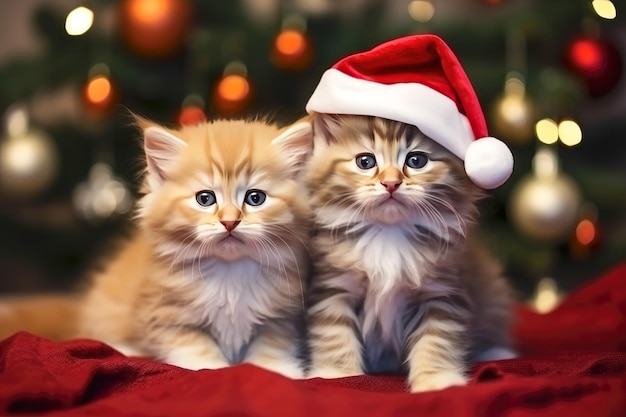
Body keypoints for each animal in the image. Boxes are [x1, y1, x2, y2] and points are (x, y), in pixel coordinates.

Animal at [70, 117, 312, 376]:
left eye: (255, 198)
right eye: (205, 199)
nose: (230, 222)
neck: (230, 274)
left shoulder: (284, 317)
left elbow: (272, 346)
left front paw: (277, 369)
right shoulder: (164, 315)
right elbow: (196, 348)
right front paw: (215, 368)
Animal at [304, 113, 516, 390]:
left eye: (416, 161)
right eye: (365, 162)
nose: (391, 183)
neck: (388, 235)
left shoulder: (441, 292)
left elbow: (436, 340)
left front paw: (438, 381)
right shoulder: (334, 288)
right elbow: (334, 336)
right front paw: (336, 375)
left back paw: (498, 353)